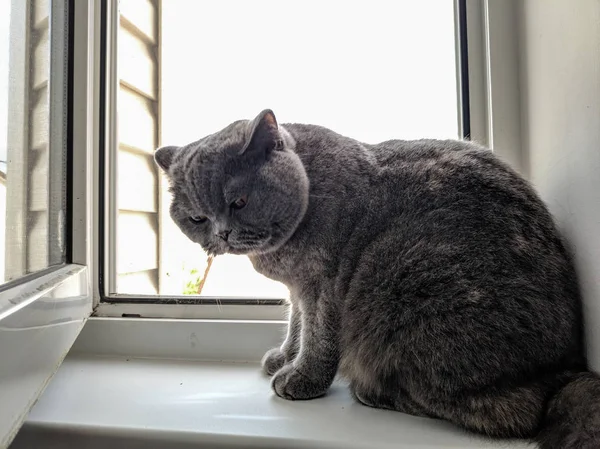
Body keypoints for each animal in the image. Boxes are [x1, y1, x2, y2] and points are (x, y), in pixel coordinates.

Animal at [156, 109, 600, 448]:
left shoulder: (325, 284)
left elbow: (318, 336)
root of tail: (565, 371)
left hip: (402, 280)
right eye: (197, 218)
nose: (222, 234)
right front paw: (284, 357)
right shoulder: (300, 288)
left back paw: (373, 391)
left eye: (239, 201)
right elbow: (296, 324)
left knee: (509, 412)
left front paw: (302, 378)